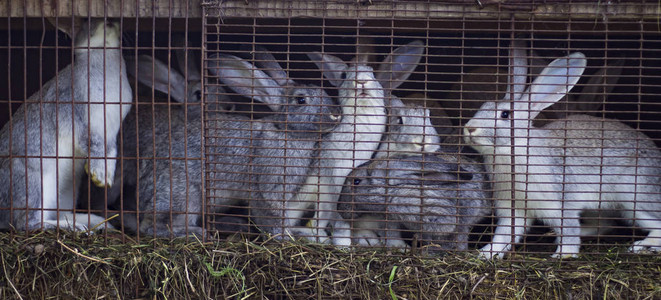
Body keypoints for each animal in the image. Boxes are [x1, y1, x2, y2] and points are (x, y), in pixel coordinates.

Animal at [0, 17, 131, 231]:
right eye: (86, 20)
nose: (110, 21)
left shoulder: (111, 131)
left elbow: (111, 150)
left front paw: (105, 178)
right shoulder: (76, 115)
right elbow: (92, 144)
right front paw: (99, 175)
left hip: (67, 189)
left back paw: (92, 222)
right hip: (33, 181)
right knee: (27, 222)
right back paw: (73, 227)